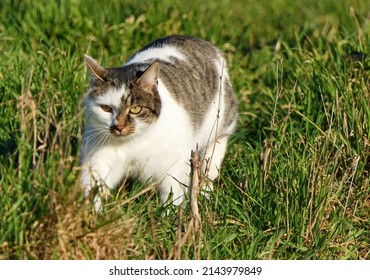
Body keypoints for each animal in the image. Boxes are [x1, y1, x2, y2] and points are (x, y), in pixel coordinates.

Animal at [79, 35, 238, 211]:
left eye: (135, 109)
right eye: (106, 108)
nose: (119, 127)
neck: (132, 143)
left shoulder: (174, 164)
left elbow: (172, 194)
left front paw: (170, 215)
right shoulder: (98, 160)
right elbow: (93, 188)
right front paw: (90, 214)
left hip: (218, 133)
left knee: (208, 168)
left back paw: (204, 194)